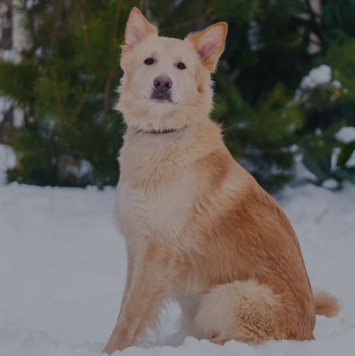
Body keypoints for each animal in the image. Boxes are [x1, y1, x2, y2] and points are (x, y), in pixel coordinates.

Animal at [102, 6, 340, 354]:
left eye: (181, 66)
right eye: (149, 61)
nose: (163, 82)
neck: (164, 136)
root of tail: (307, 333)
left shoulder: (157, 252)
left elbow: (129, 317)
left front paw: (110, 350)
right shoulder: (137, 247)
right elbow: (124, 306)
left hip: (227, 297)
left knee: (238, 340)